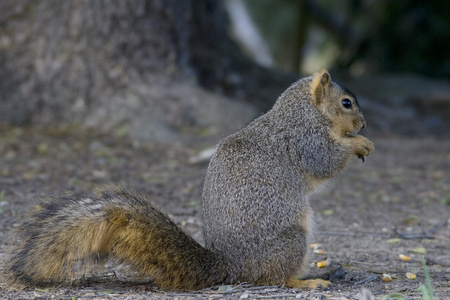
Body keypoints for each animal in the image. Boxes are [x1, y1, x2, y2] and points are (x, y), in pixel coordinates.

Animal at [6, 69, 372, 290]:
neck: (304, 110)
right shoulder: (305, 139)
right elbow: (325, 160)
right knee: (275, 278)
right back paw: (307, 282)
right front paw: (358, 143)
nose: (364, 124)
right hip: (292, 240)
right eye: (346, 103)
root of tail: (230, 266)